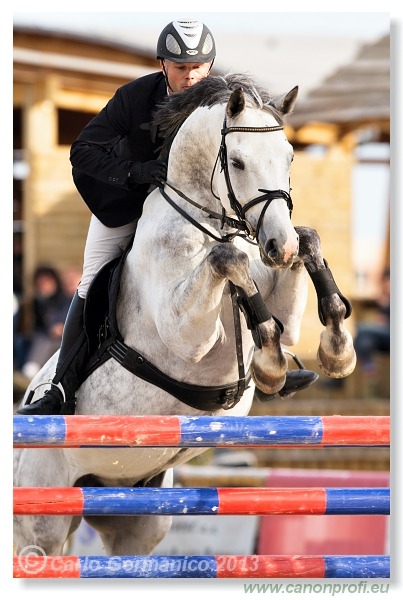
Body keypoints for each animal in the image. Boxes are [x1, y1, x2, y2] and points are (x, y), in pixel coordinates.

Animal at [13, 74, 356, 556]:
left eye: (289, 157)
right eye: (238, 162)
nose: (277, 246)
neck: (209, 224)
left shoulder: (286, 304)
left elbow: (307, 244)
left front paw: (336, 350)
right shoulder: (185, 335)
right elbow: (228, 259)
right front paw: (271, 364)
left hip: (137, 515)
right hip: (41, 521)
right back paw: (46, 405)